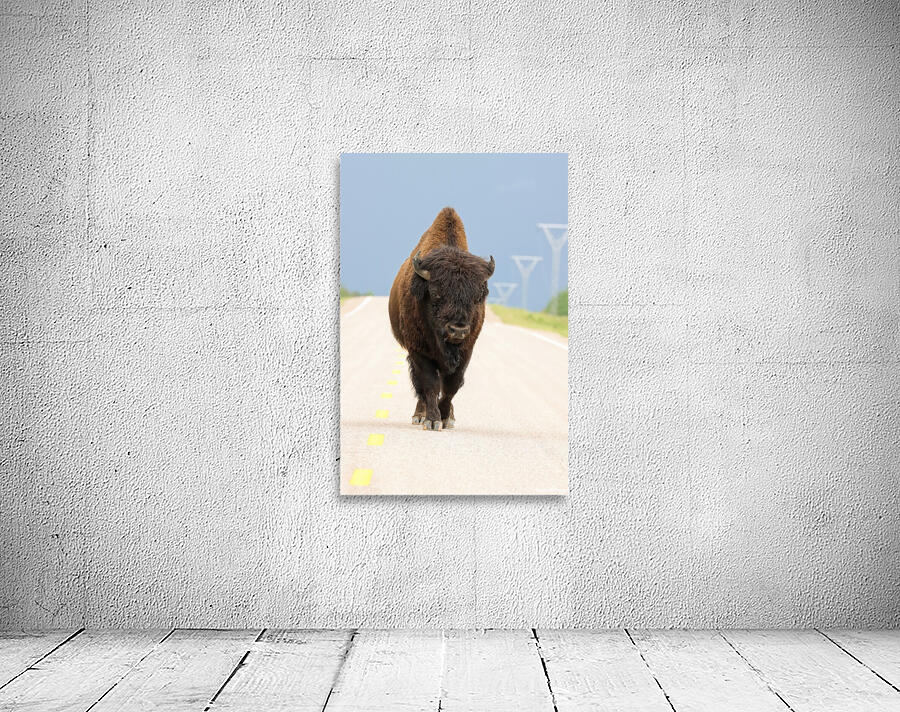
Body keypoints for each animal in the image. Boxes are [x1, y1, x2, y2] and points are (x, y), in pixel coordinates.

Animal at [388, 207, 494, 431]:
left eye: (477, 297)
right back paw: (419, 416)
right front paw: (432, 420)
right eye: (436, 294)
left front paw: (446, 417)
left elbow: (452, 386)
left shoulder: (466, 351)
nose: (458, 330)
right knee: (420, 386)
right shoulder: (419, 351)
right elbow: (430, 384)